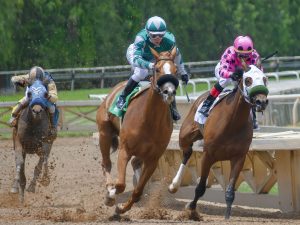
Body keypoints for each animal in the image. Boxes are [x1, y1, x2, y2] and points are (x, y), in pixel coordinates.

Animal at [96, 46, 179, 215]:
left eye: (176, 70)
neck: (149, 120)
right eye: (157, 69)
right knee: (106, 163)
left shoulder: (153, 159)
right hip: (104, 133)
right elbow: (120, 184)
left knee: (135, 163)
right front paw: (111, 196)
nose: (169, 92)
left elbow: (138, 191)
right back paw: (109, 190)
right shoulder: (124, 150)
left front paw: (122, 208)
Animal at [168, 64, 268, 219]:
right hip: (185, 136)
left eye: (264, 79)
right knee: (186, 153)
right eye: (248, 80)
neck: (232, 122)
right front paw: (191, 208)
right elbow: (200, 187)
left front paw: (227, 217)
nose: (261, 102)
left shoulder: (239, 158)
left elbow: (230, 192)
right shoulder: (208, 155)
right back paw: (174, 185)